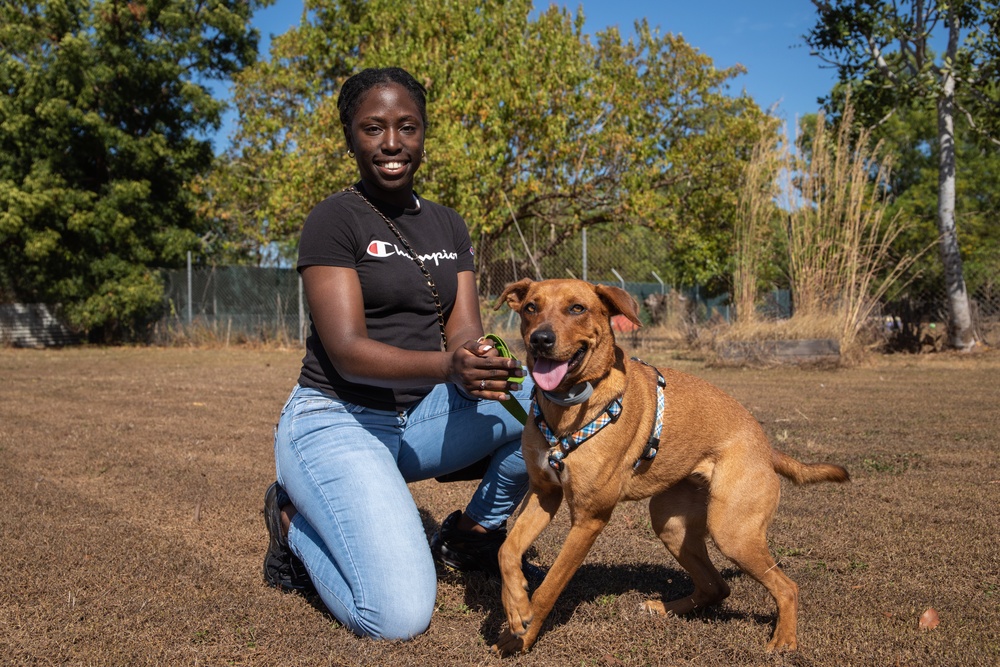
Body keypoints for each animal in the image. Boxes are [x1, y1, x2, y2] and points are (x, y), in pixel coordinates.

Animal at [488, 280, 848, 656]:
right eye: (530, 307)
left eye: (577, 308)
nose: (540, 339)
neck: (569, 406)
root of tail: (766, 447)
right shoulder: (545, 493)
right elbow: (506, 550)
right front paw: (516, 609)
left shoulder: (589, 518)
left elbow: (550, 587)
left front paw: (523, 636)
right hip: (671, 522)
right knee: (716, 586)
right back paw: (664, 608)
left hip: (732, 531)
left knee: (786, 586)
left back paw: (784, 639)